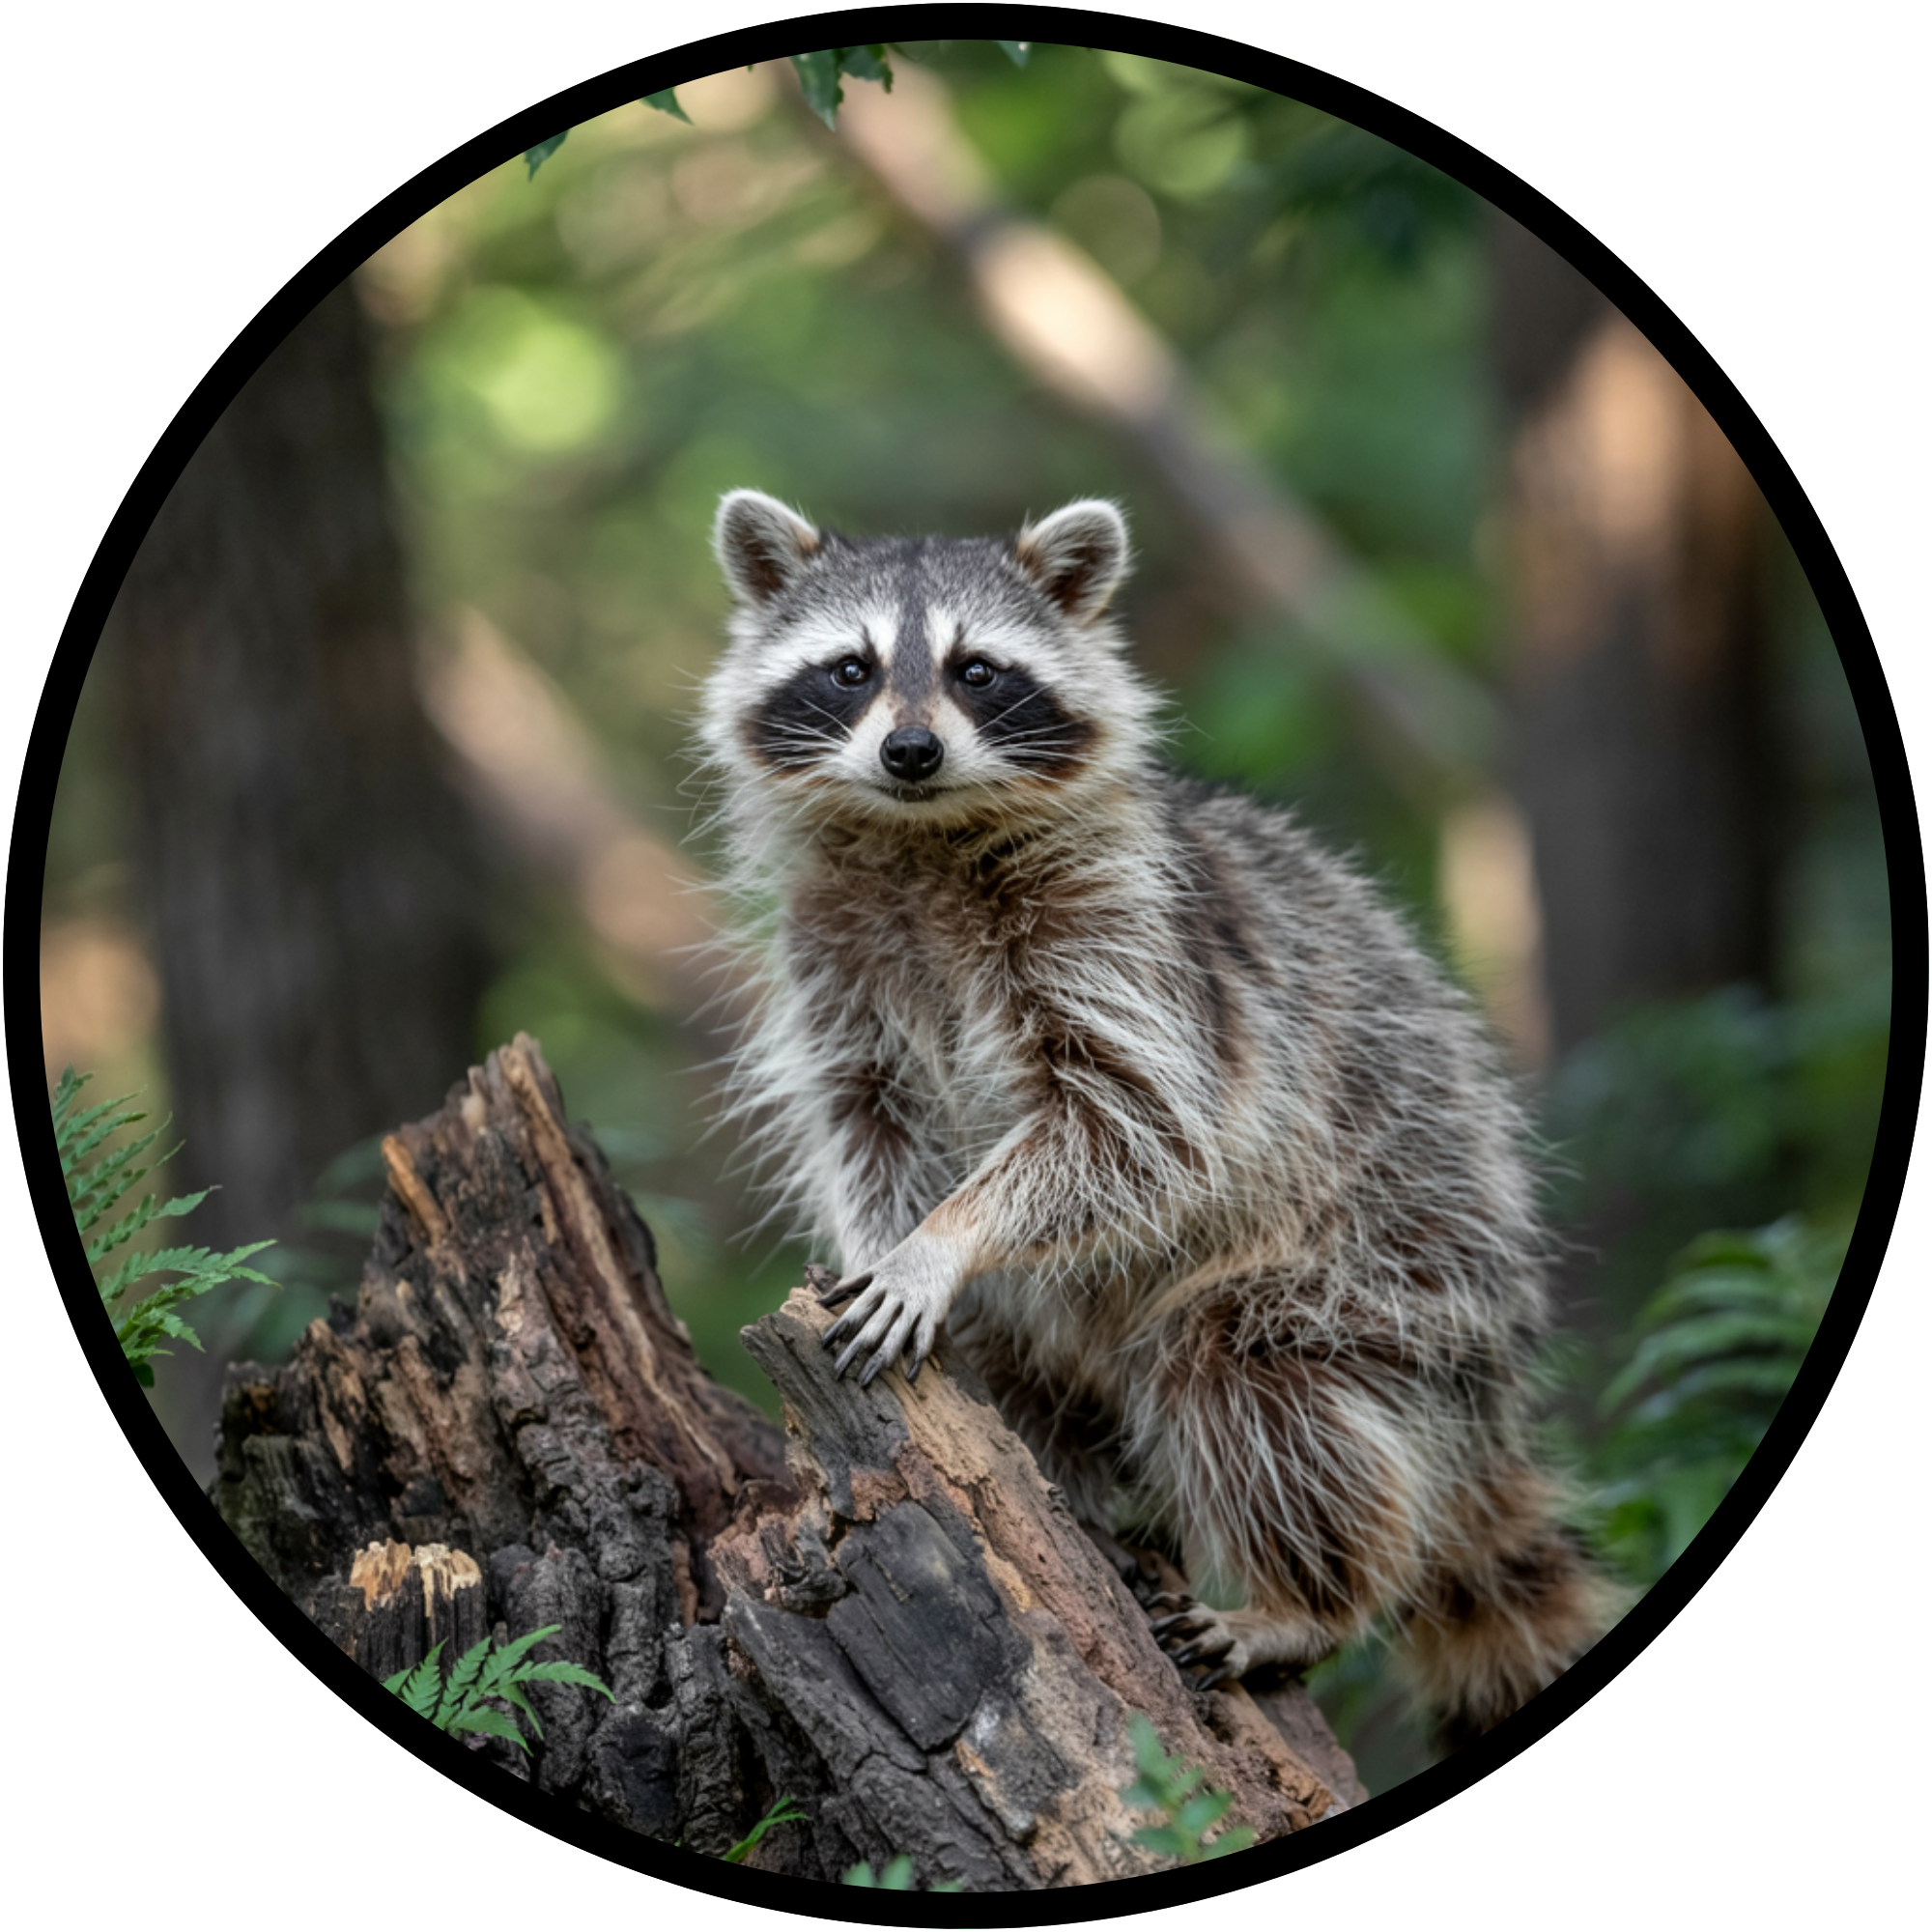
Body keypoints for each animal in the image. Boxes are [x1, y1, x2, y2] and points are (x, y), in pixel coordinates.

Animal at [695, 488, 1614, 1745]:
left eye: (977, 671)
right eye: (850, 669)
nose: (908, 749)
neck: (918, 835)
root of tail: (1487, 1404)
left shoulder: (1127, 936)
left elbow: (1133, 1125)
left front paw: (943, 1240)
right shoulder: (833, 960)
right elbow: (867, 1122)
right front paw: (890, 1233)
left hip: (1392, 1278)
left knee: (1245, 1375)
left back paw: (1300, 1601)